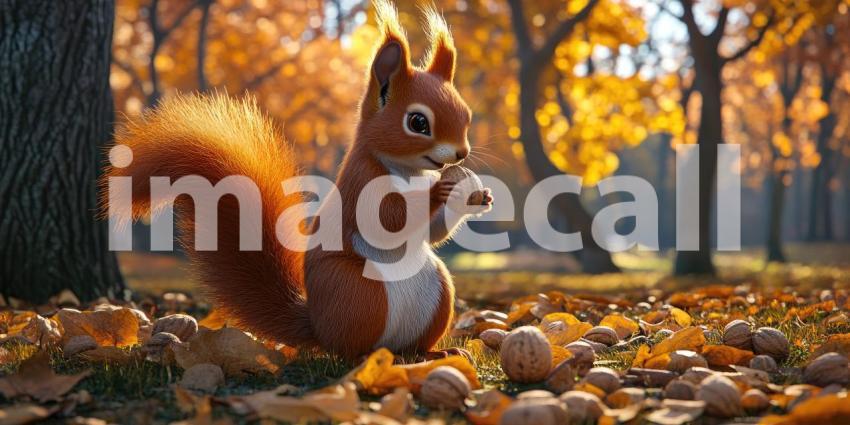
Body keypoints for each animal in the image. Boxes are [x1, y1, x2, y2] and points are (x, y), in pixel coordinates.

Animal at [103, 0, 493, 359]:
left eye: (466, 114)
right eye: (418, 122)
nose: (461, 153)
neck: (409, 171)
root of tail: (317, 328)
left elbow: (434, 233)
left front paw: (475, 196)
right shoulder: (361, 181)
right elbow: (386, 218)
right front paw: (440, 190)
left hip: (438, 290)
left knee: (412, 343)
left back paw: (436, 352)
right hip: (359, 295)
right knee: (351, 347)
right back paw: (366, 356)